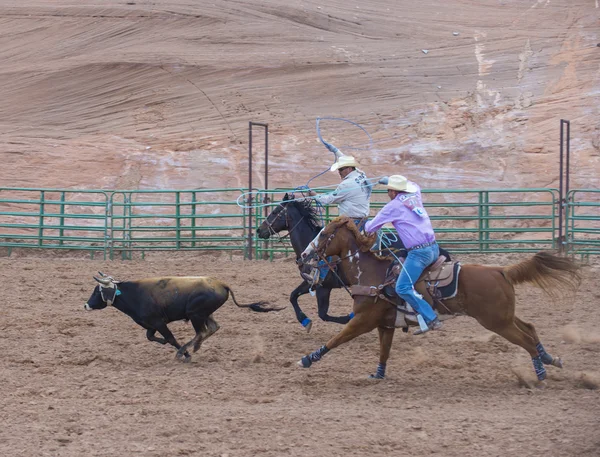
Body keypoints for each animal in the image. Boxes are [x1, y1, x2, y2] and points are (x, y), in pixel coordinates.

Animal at [255, 193, 354, 332]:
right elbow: (293, 296)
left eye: (275, 211)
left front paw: (351, 317)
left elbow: (323, 314)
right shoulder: (310, 282)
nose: (259, 230)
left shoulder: (323, 287)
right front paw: (304, 320)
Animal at [300, 216, 580, 382]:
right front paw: (377, 376)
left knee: (526, 340)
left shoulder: (363, 320)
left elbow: (336, 339)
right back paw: (550, 359)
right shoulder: (385, 324)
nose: (303, 255)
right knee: (530, 328)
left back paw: (540, 374)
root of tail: (501, 270)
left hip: (496, 322)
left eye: (323, 234)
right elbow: (384, 352)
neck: (372, 274)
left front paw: (307, 359)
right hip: (504, 316)